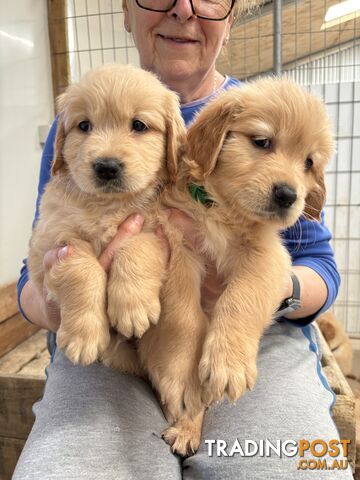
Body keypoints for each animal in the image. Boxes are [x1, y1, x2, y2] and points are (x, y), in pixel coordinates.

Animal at [160, 78, 334, 454]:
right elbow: (182, 314)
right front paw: (182, 370)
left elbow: (240, 297)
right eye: (262, 141)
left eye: (308, 162)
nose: (288, 195)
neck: (224, 211)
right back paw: (185, 426)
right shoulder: (179, 244)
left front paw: (228, 362)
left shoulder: (268, 258)